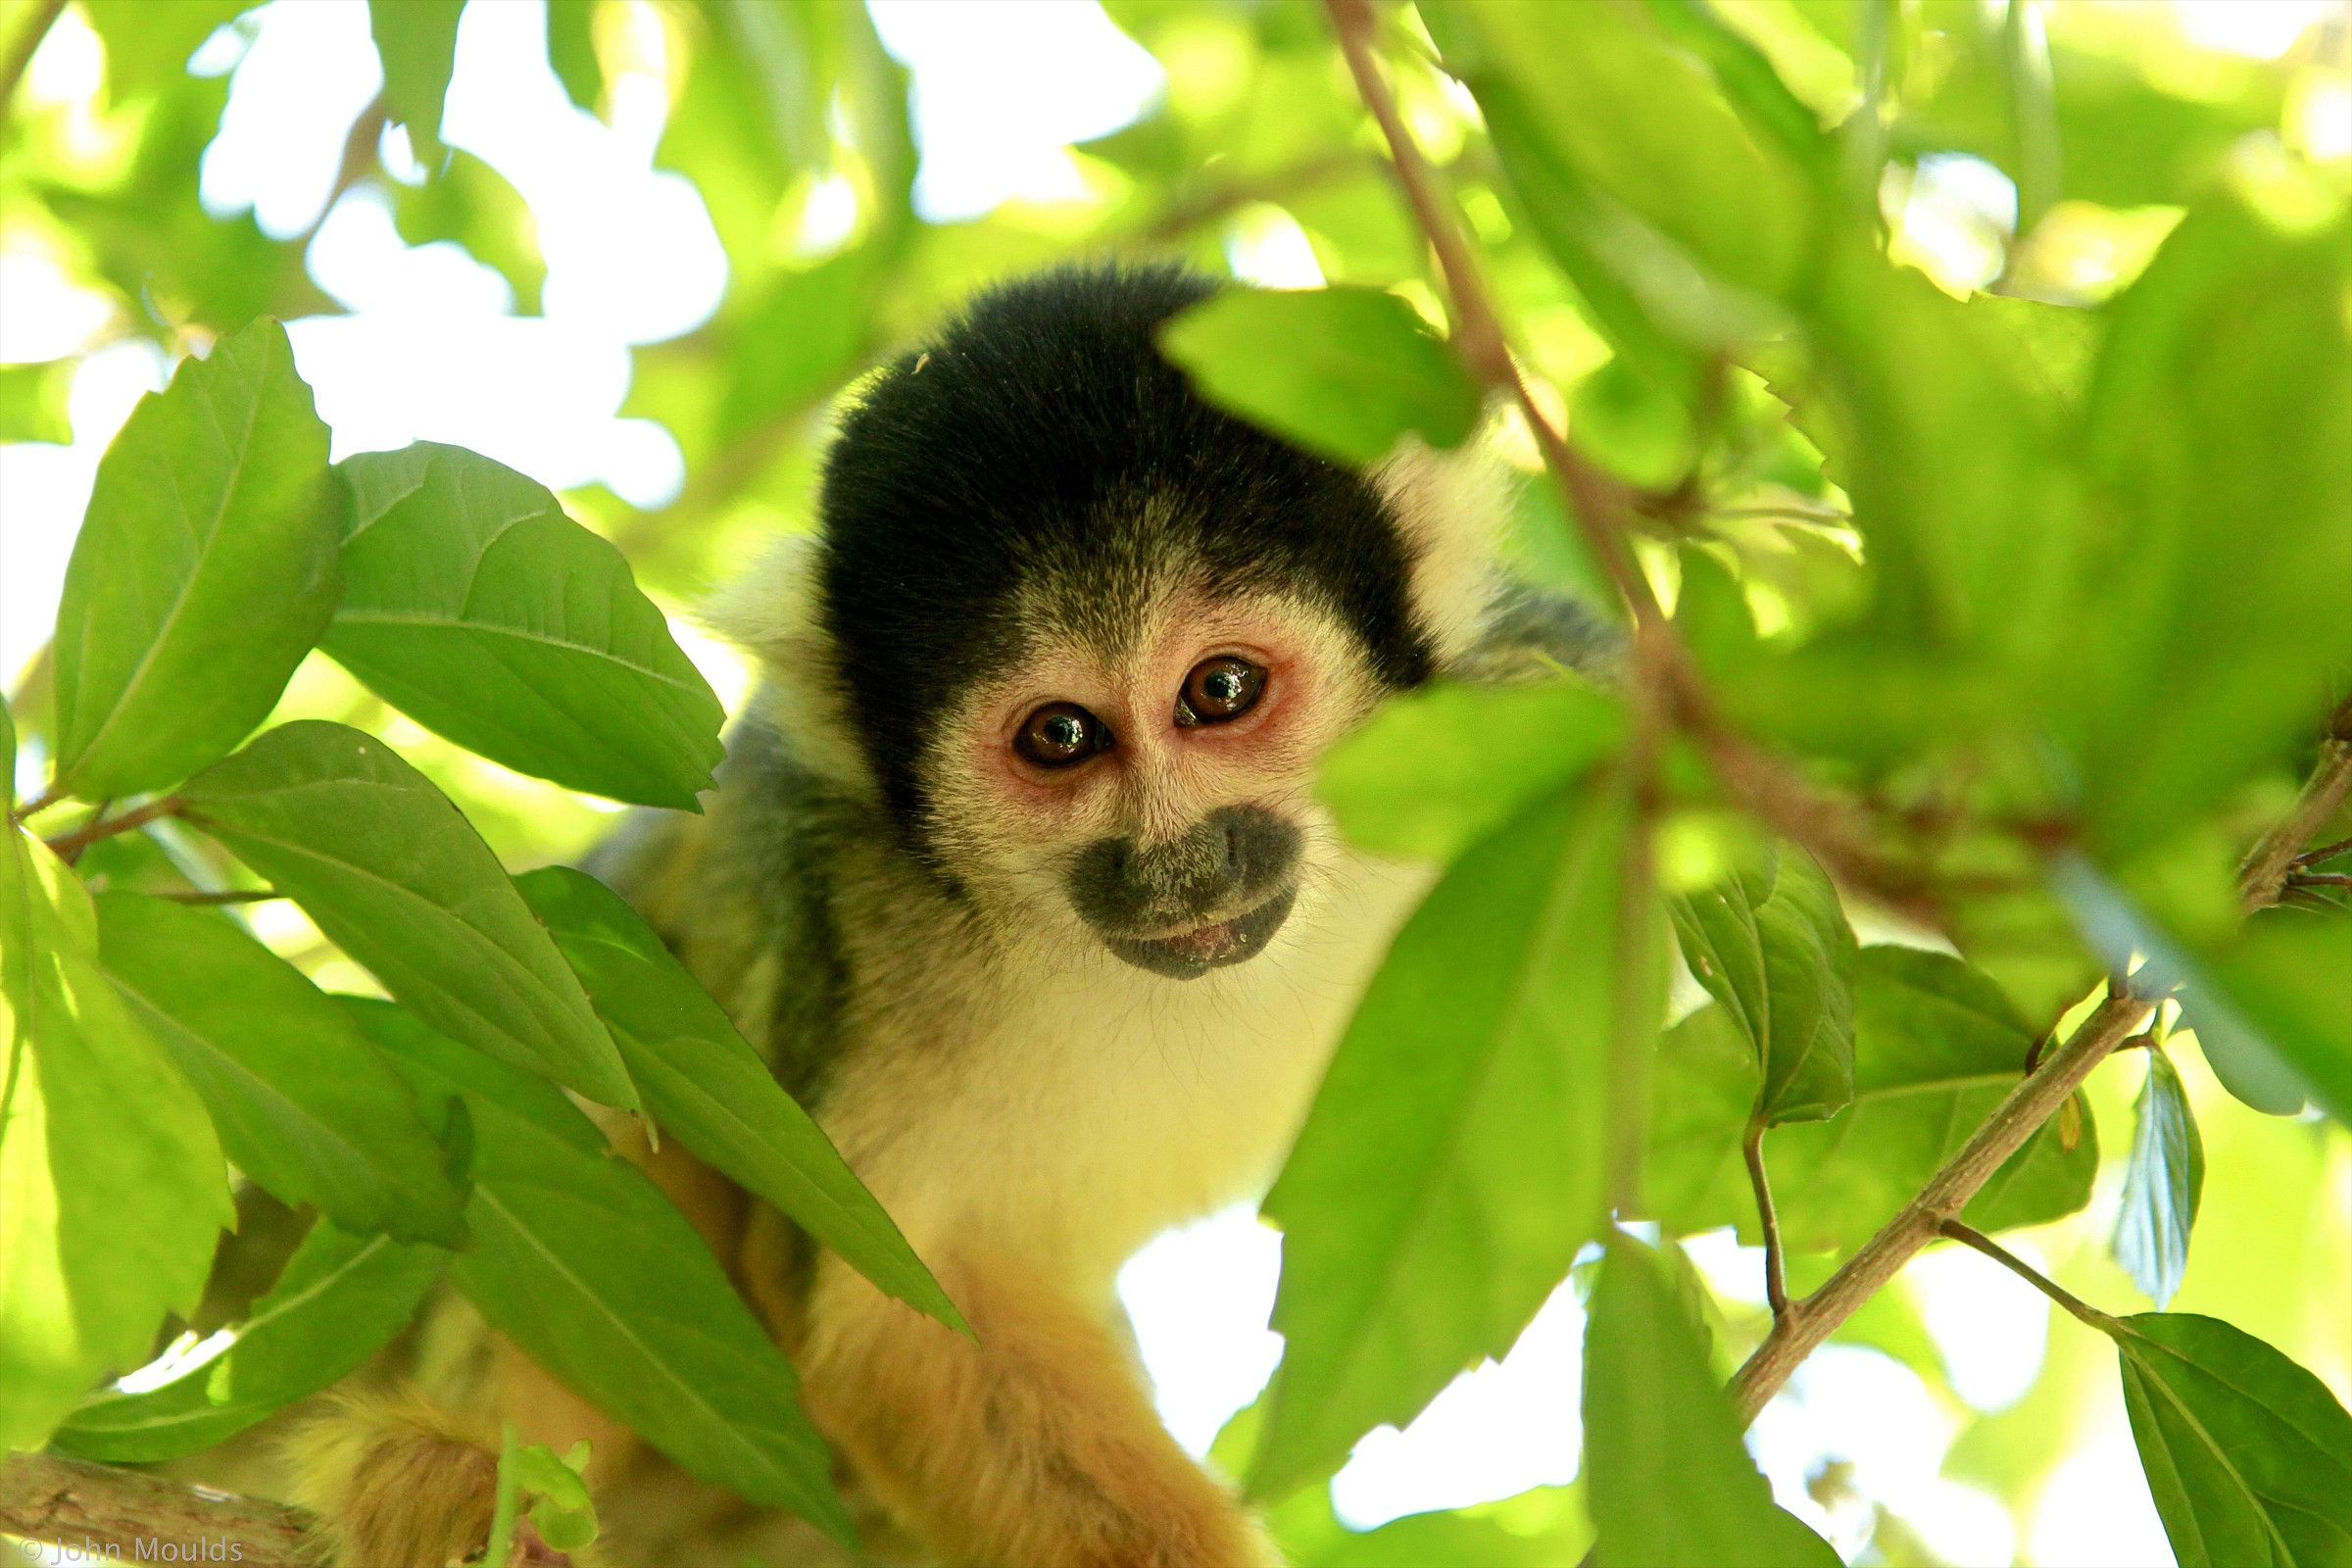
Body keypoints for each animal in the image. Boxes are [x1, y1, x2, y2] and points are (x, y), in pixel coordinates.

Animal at [284, 263, 1618, 1568]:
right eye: (1060, 736)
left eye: (1222, 689)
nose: (1179, 869)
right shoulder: (859, 910)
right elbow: (887, 1301)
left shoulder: (1550, 706)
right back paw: (457, 1485)